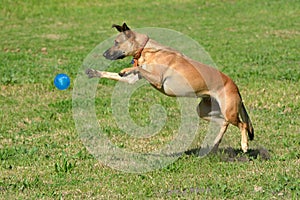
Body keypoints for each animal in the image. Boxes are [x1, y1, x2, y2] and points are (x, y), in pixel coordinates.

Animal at [85, 22, 254, 152]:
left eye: (116, 42)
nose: (104, 54)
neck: (147, 50)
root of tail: (236, 88)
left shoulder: (158, 79)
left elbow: (138, 69)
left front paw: (125, 69)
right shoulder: (134, 79)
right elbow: (114, 74)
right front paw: (93, 72)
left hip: (228, 110)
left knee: (242, 124)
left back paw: (244, 145)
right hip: (205, 110)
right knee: (224, 123)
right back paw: (214, 145)